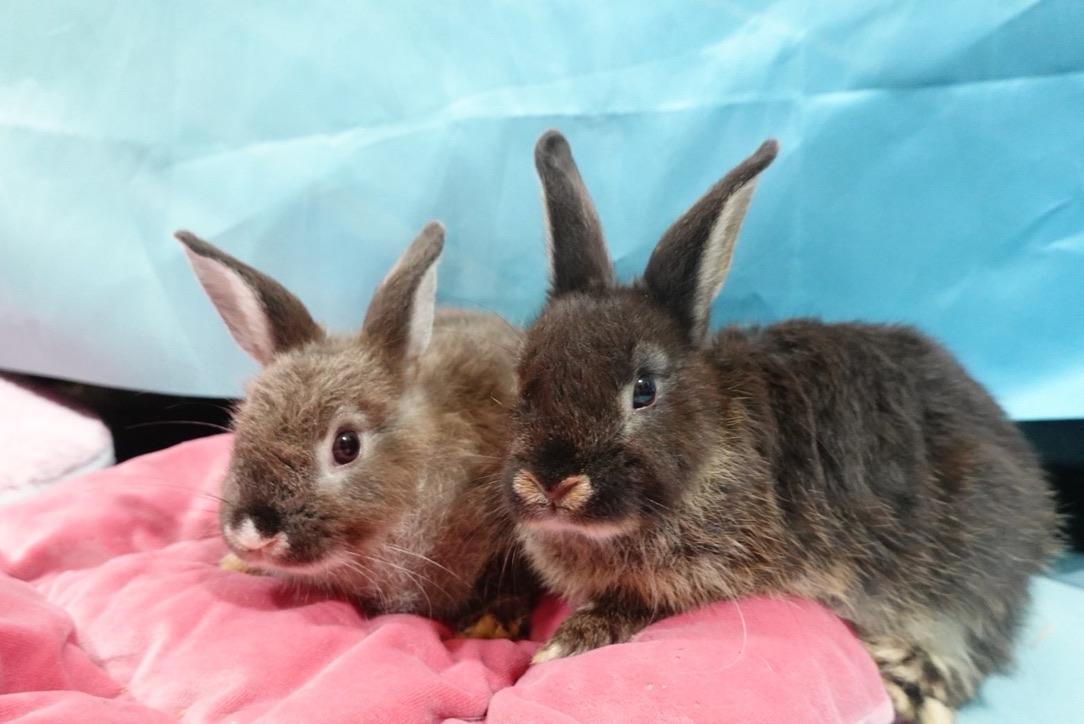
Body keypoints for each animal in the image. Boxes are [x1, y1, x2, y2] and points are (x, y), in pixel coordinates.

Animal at [502, 131, 1061, 723]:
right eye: (523, 384)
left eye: (644, 390)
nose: (551, 483)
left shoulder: (714, 578)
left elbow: (641, 605)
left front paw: (566, 642)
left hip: (961, 575)